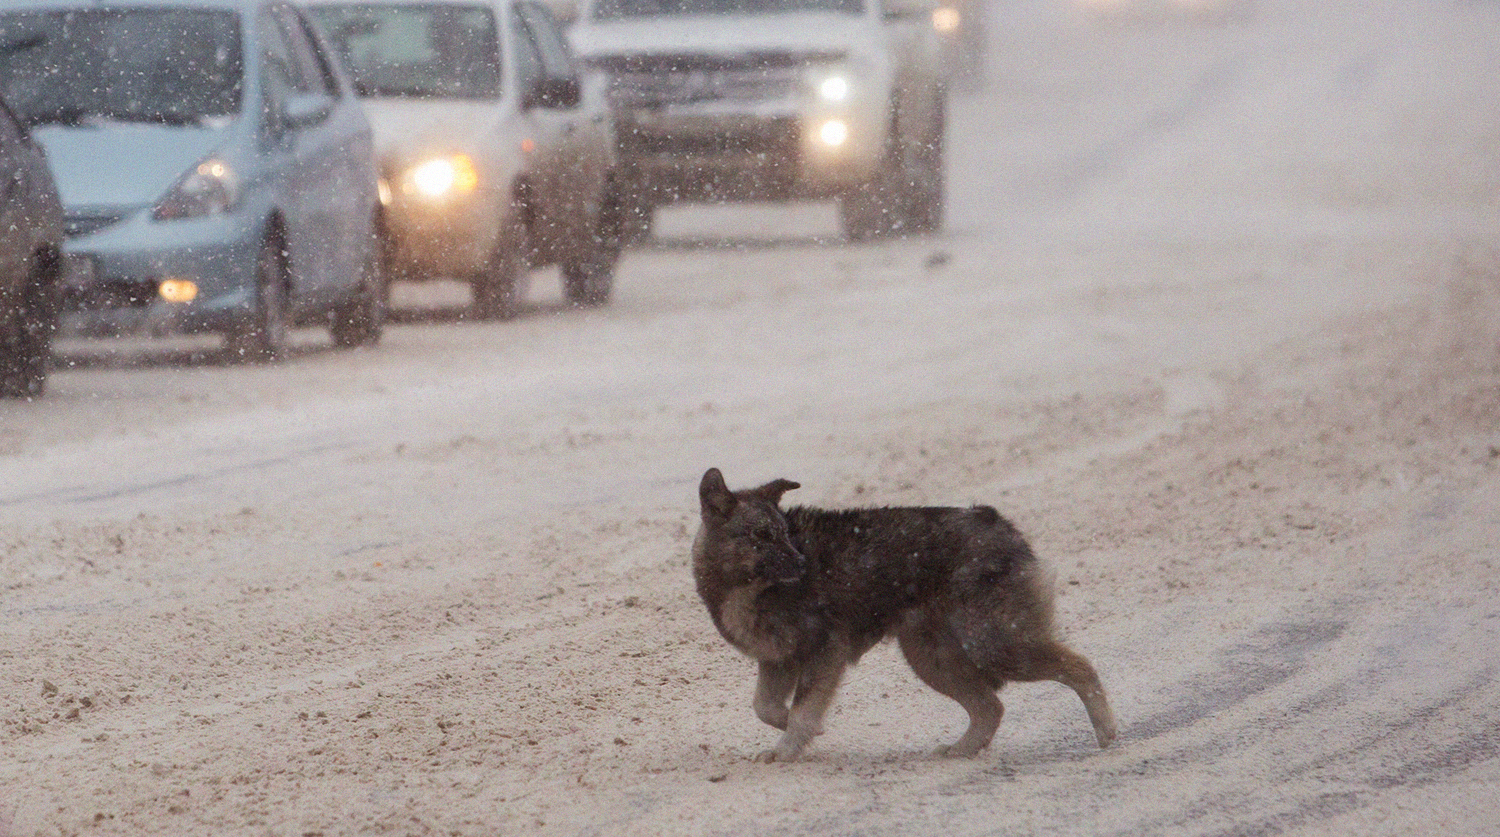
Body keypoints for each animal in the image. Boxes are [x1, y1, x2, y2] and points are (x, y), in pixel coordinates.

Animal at [690, 468, 1116, 765]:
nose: (801, 562)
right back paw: (963, 749)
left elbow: (801, 712)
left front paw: (788, 748)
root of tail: (992, 517)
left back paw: (1107, 733)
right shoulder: (777, 661)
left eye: (782, 533)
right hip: (932, 659)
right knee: (990, 708)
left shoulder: (823, 651)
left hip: (992, 646)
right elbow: (765, 707)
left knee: (1081, 667)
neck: (745, 586)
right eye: (761, 536)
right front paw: (800, 729)